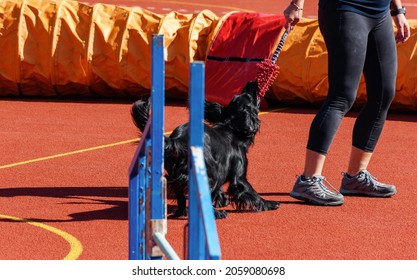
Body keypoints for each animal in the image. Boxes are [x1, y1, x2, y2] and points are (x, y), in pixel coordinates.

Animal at [132, 81, 278, 219]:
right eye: (249, 97)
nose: (252, 83)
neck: (232, 127)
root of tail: (178, 140)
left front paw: (222, 199)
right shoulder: (238, 178)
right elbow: (252, 192)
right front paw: (269, 204)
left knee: (181, 195)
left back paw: (182, 212)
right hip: (210, 173)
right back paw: (217, 214)